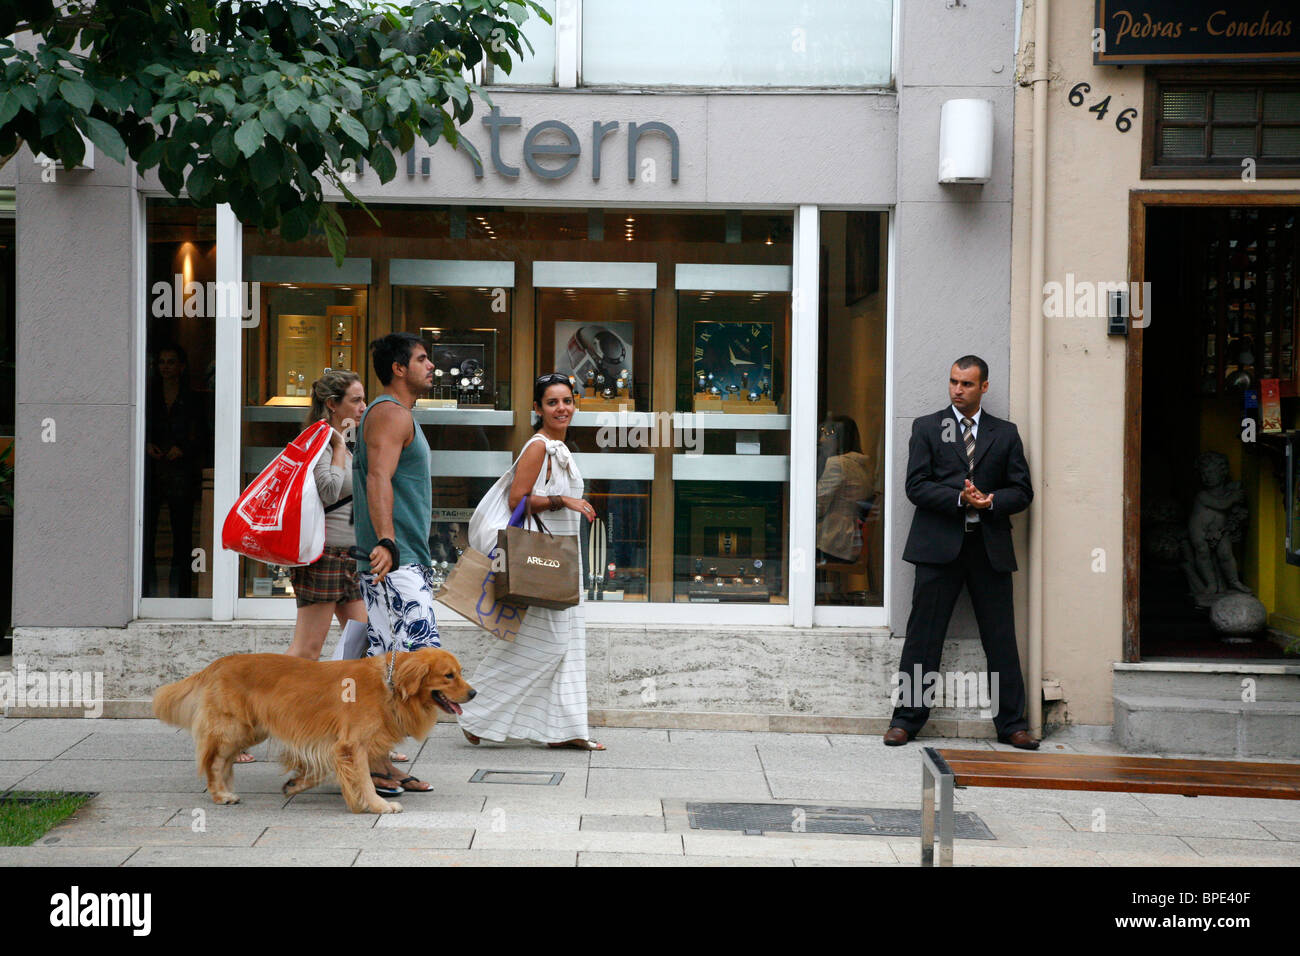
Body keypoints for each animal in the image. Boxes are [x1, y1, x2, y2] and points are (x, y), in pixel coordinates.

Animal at [153, 650, 478, 816]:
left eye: (460, 672)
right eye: (449, 676)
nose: (474, 693)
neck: (390, 686)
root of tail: (218, 663)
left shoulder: (332, 744)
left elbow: (322, 771)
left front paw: (295, 784)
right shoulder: (352, 745)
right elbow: (363, 779)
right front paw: (378, 805)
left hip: (252, 730)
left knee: (224, 761)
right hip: (233, 728)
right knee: (214, 762)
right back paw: (220, 794)